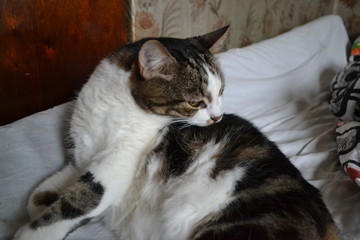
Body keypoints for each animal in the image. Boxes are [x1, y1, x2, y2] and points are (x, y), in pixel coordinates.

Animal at [14, 26, 340, 240]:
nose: (218, 117)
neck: (114, 107)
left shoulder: (115, 167)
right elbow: (40, 194)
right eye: (196, 102)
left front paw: (34, 231)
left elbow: (75, 203)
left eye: (221, 93)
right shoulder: (80, 158)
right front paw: (44, 202)